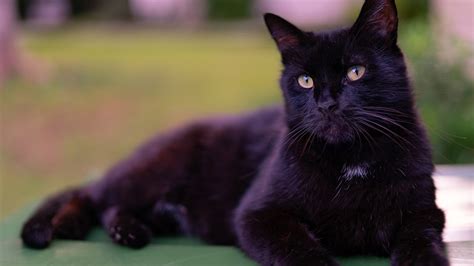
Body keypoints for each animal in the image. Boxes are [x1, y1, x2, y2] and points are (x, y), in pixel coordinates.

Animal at [20, 1, 448, 264]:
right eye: (306, 80)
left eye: (355, 71)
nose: (327, 103)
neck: (350, 161)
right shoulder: (257, 215)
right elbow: (302, 250)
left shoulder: (424, 210)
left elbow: (421, 238)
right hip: (155, 169)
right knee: (96, 196)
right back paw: (84, 226)